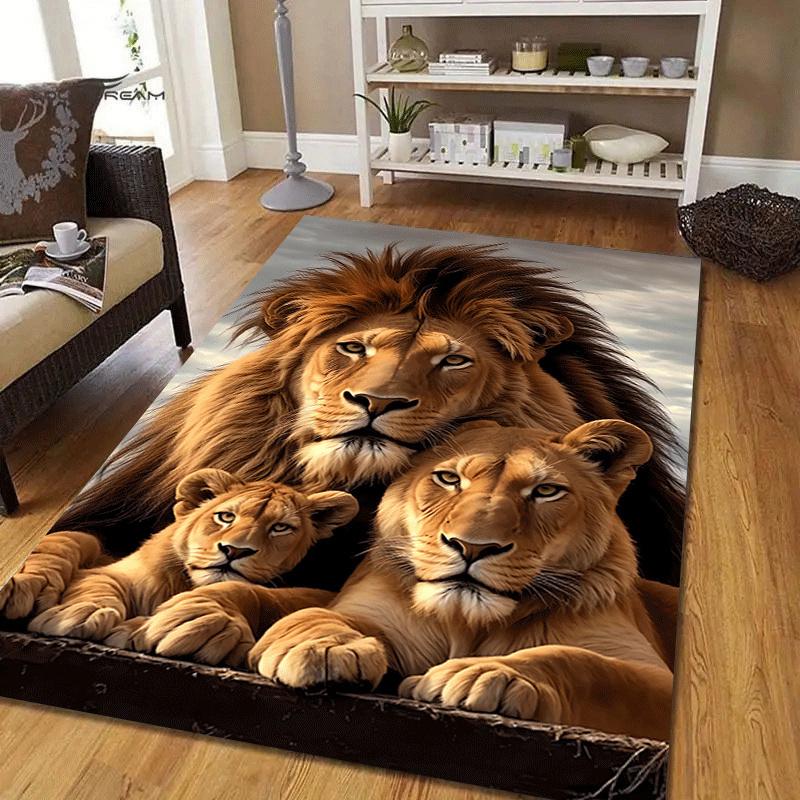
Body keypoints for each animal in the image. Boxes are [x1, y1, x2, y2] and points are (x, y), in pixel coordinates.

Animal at [20, 470, 356, 662]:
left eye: (280, 528)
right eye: (226, 517)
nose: (234, 550)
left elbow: (258, 595)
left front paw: (206, 625)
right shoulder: (115, 571)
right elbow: (100, 583)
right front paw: (79, 614)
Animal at [242, 420, 673, 741]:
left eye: (547, 491)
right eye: (449, 478)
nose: (472, 546)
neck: (467, 624)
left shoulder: (656, 678)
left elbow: (585, 665)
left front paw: (489, 675)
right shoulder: (376, 613)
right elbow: (318, 615)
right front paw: (323, 647)